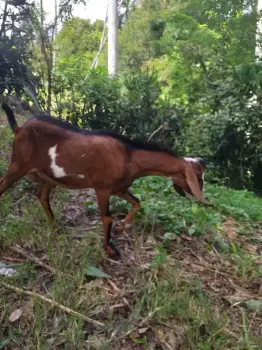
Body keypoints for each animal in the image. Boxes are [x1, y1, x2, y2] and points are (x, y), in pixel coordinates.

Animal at [1, 103, 208, 258]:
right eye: (198, 176)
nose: (200, 197)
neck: (129, 156)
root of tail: (20, 128)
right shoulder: (102, 188)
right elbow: (107, 217)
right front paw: (110, 248)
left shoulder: (118, 188)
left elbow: (137, 203)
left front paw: (120, 229)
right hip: (18, 165)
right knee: (4, 185)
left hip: (47, 175)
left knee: (42, 196)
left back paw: (56, 227)